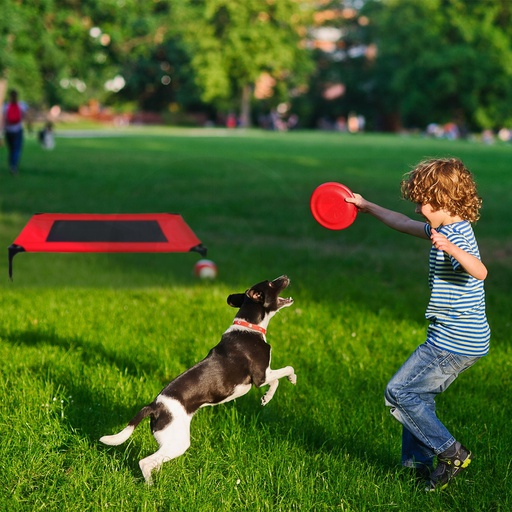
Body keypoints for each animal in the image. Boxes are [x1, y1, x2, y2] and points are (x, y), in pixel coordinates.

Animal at [100, 276, 296, 480]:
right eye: (271, 283)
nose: (285, 277)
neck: (249, 326)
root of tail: (154, 406)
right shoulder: (260, 375)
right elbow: (286, 370)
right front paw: (292, 380)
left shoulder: (264, 375)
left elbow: (276, 380)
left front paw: (267, 398)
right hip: (178, 442)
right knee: (145, 462)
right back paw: (151, 485)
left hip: (169, 441)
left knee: (155, 461)